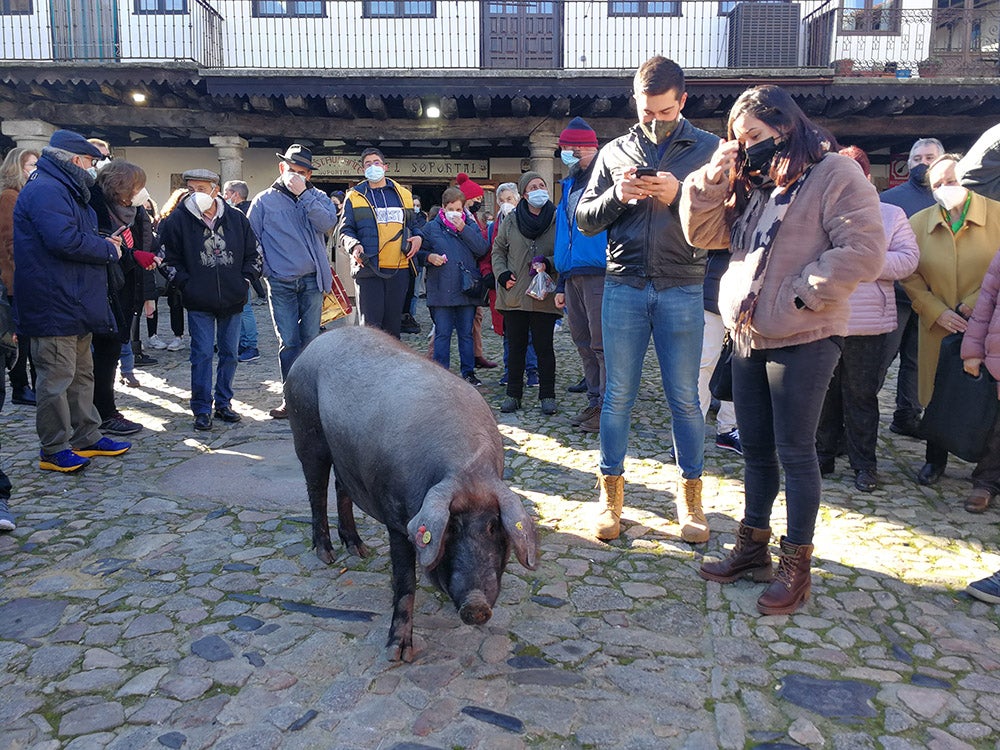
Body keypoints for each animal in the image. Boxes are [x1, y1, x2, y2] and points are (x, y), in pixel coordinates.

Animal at [286, 328, 540, 664]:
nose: (476, 606)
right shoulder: (397, 520)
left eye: (493, 526)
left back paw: (359, 550)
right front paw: (398, 654)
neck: (467, 469)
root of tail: (314, 344)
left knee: (341, 489)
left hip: (346, 458)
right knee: (315, 491)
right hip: (307, 432)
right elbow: (406, 583)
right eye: (452, 527)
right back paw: (326, 555)